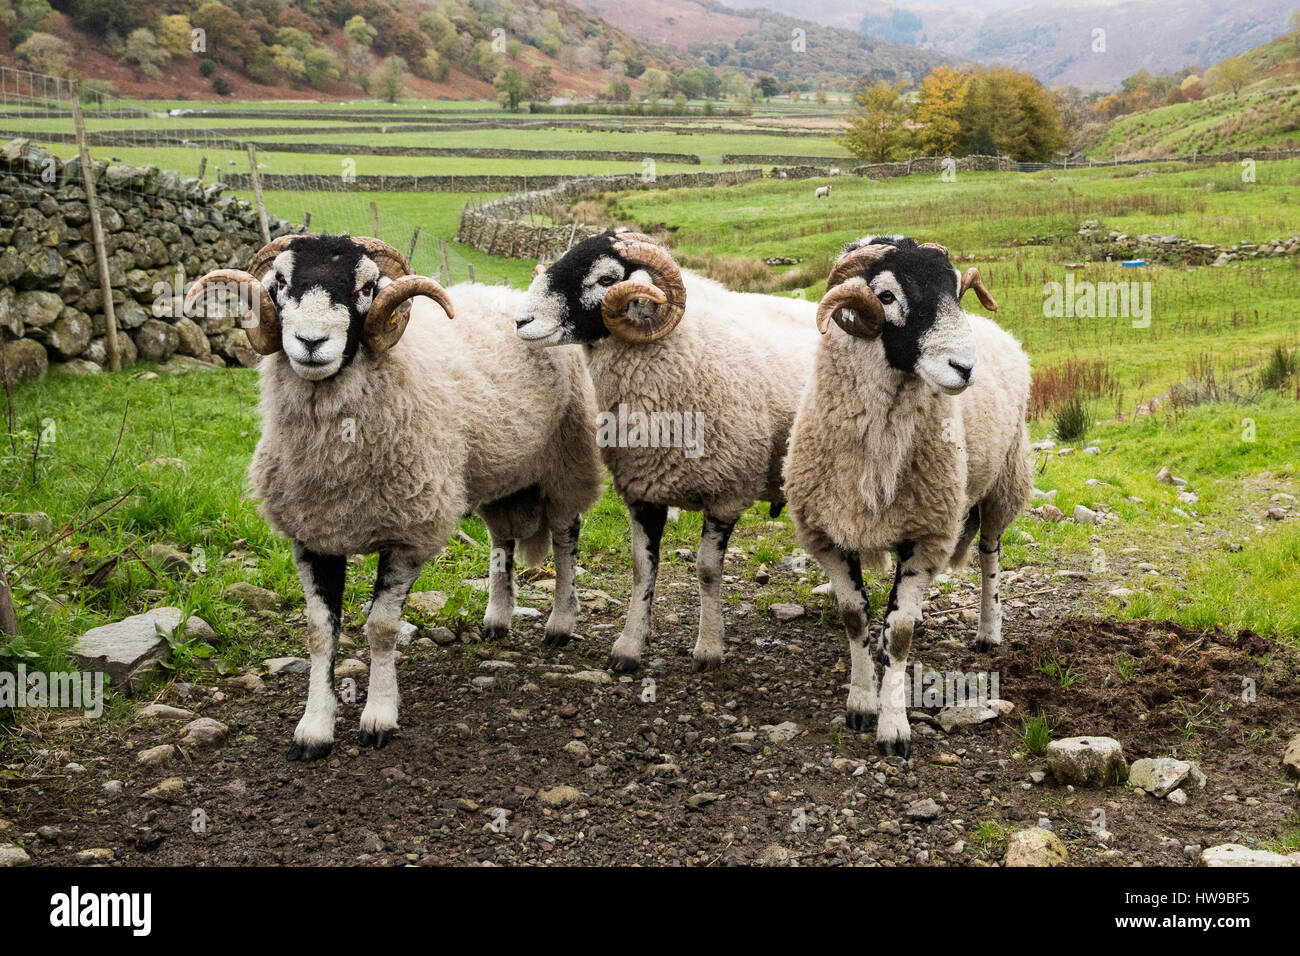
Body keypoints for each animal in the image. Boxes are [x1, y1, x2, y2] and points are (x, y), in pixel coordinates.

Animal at [185, 238, 600, 764]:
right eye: (279, 281)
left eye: (367, 288)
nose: (311, 343)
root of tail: (509, 296)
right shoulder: (311, 535)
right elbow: (319, 632)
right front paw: (313, 728)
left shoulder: (410, 531)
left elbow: (381, 627)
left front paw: (379, 718)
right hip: (496, 472)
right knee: (501, 539)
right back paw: (497, 617)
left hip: (566, 461)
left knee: (566, 540)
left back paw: (560, 623)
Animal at [512, 231, 816, 671]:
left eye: (606, 279)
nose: (520, 321)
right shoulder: (644, 490)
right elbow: (642, 568)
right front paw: (629, 646)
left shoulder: (729, 492)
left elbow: (707, 570)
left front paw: (708, 648)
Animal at [774, 234, 1029, 754]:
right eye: (887, 296)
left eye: (955, 289)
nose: (964, 367)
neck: (879, 454)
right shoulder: (829, 534)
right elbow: (855, 619)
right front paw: (860, 702)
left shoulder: (927, 533)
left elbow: (900, 635)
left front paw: (894, 727)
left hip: (1002, 482)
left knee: (990, 556)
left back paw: (988, 630)